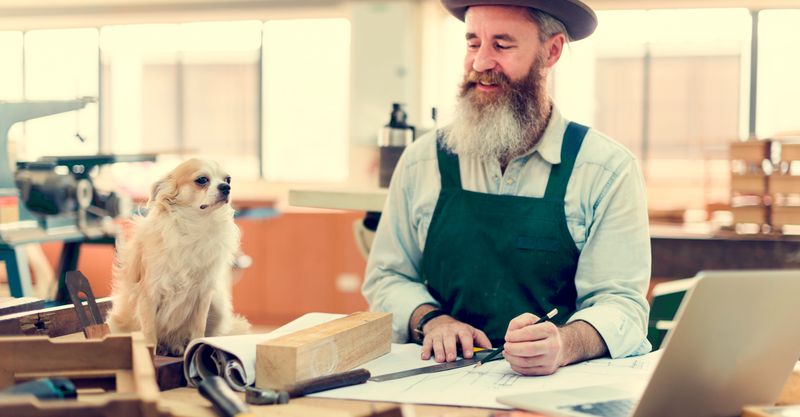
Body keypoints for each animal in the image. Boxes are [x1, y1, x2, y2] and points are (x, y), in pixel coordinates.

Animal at [107, 158, 250, 354]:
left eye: (228, 179)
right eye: (202, 180)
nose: (226, 187)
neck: (194, 227)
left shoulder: (203, 295)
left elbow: (198, 328)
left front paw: (197, 348)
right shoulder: (149, 294)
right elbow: (149, 332)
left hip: (218, 306)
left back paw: (177, 348)